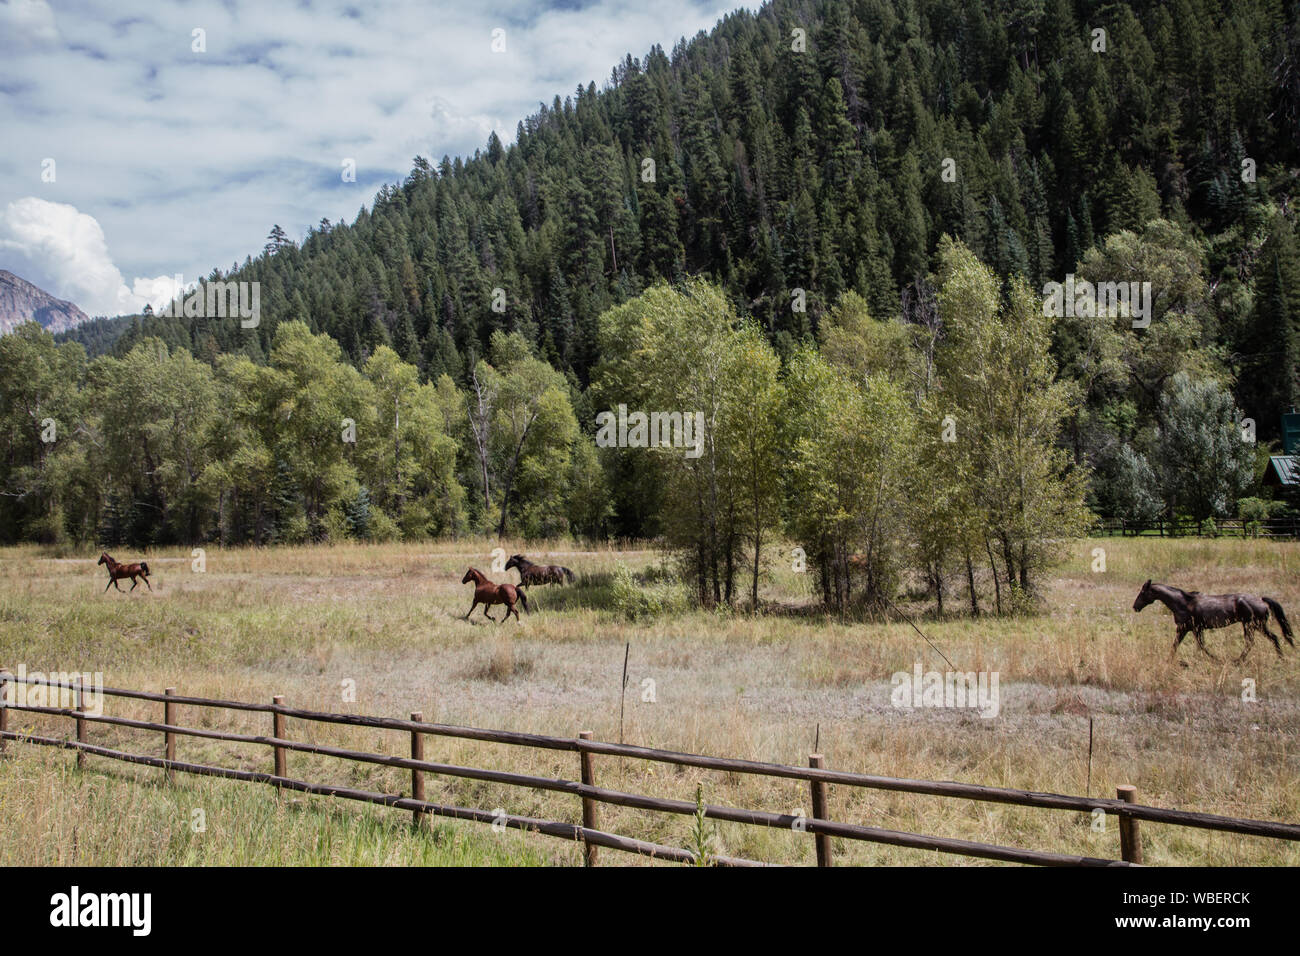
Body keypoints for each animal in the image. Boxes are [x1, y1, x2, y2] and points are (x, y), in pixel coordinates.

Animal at [1133, 579, 1294, 664]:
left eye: (1142, 592)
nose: (1135, 607)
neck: (1183, 603)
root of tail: (1261, 600)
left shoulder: (1186, 628)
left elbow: (1184, 644)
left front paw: (1214, 659)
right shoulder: (1194, 629)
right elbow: (1193, 645)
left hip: (1251, 625)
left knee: (1250, 642)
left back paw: (1237, 661)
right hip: (1257, 625)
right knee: (1273, 638)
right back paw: (1281, 658)